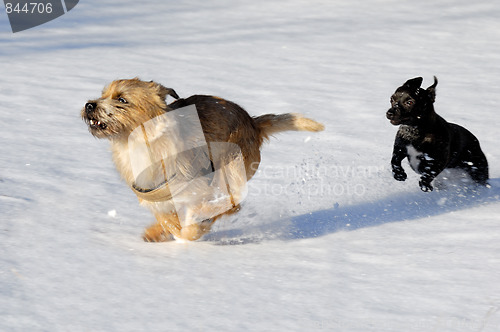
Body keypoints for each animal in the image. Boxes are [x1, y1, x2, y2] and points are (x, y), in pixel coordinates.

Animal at [82, 79, 324, 243]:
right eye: (103, 94)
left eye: (122, 99)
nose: (89, 105)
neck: (142, 143)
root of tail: (253, 123)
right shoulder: (156, 200)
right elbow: (168, 220)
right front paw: (160, 231)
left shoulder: (199, 189)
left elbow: (194, 221)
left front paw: (193, 229)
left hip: (229, 170)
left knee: (234, 203)